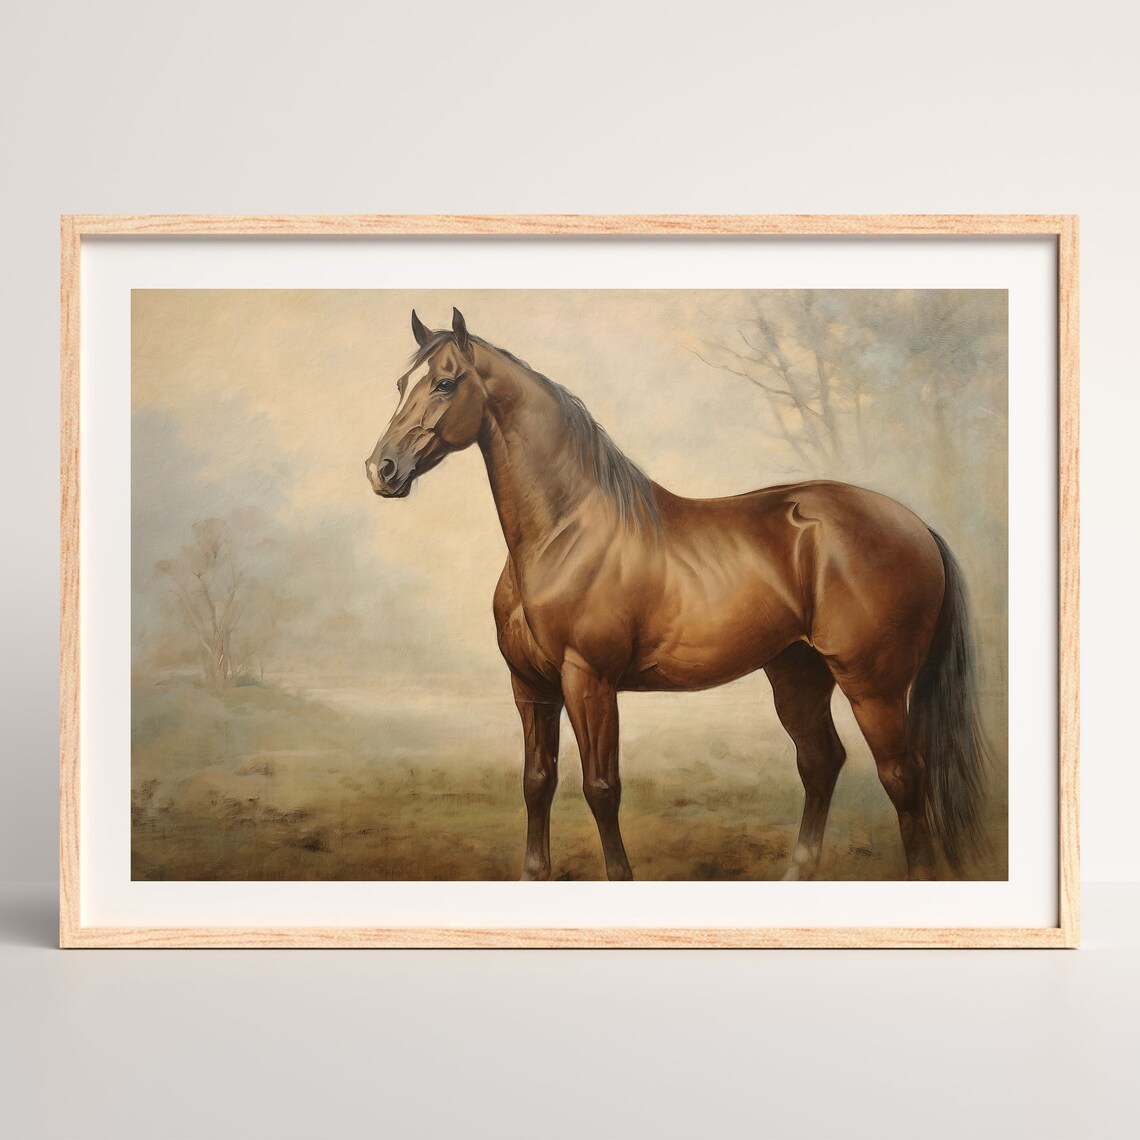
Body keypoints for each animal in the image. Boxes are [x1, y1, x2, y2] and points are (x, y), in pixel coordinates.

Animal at [365, 308, 987, 881]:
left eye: (445, 382)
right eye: (400, 384)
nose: (381, 469)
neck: (564, 532)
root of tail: (917, 526)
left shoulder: (588, 680)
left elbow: (601, 787)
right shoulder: (530, 686)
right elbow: (537, 782)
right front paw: (534, 872)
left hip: (873, 686)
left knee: (902, 777)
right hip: (798, 672)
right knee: (821, 762)